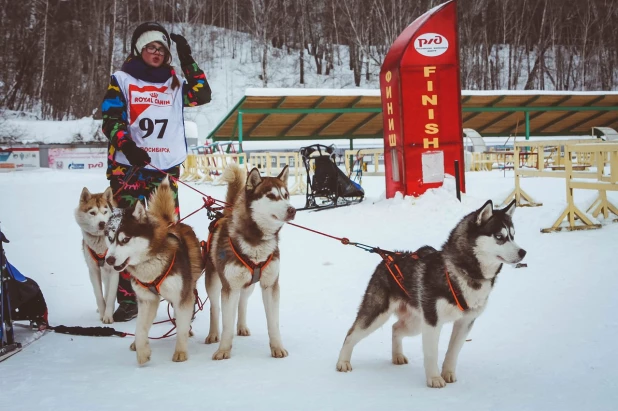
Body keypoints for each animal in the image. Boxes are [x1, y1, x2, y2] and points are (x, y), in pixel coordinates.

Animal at [74, 187, 116, 326]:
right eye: (92, 213)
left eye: (105, 211)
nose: (102, 223)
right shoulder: (93, 270)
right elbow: (98, 295)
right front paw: (103, 313)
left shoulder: (114, 270)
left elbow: (111, 295)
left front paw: (108, 315)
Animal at [104, 177, 202, 364]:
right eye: (110, 238)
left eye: (125, 239)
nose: (109, 260)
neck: (150, 264)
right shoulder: (146, 300)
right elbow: (140, 328)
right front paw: (142, 352)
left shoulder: (182, 297)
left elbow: (181, 325)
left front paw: (181, 350)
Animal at [203, 164, 294, 360]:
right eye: (271, 196)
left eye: (286, 195)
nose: (292, 210)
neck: (256, 243)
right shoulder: (229, 287)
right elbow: (226, 324)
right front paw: (223, 350)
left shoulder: (270, 285)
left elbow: (273, 323)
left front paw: (277, 347)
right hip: (214, 283)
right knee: (214, 308)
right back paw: (213, 333)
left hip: (249, 285)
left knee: (242, 302)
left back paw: (242, 326)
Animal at [336, 201, 524, 388]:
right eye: (499, 237)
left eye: (513, 236)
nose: (523, 252)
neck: (461, 272)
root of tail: (388, 257)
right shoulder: (433, 323)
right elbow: (432, 354)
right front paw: (434, 378)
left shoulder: (465, 322)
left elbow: (453, 352)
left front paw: (448, 373)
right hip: (379, 315)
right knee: (351, 333)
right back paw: (343, 362)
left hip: (417, 323)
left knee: (395, 328)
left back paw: (397, 355)